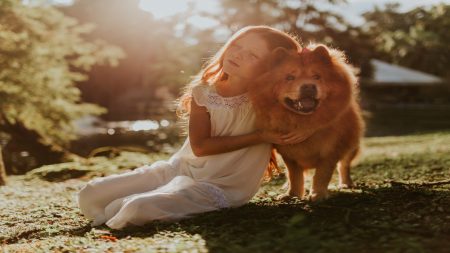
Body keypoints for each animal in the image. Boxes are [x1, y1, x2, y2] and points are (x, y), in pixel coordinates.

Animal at [250, 44, 366, 202]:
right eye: (290, 77)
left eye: (317, 76)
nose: (308, 86)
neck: (302, 120)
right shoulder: (289, 154)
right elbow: (294, 176)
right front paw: (292, 194)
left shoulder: (331, 152)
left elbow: (322, 175)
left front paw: (318, 194)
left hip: (350, 144)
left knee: (344, 165)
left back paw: (345, 184)